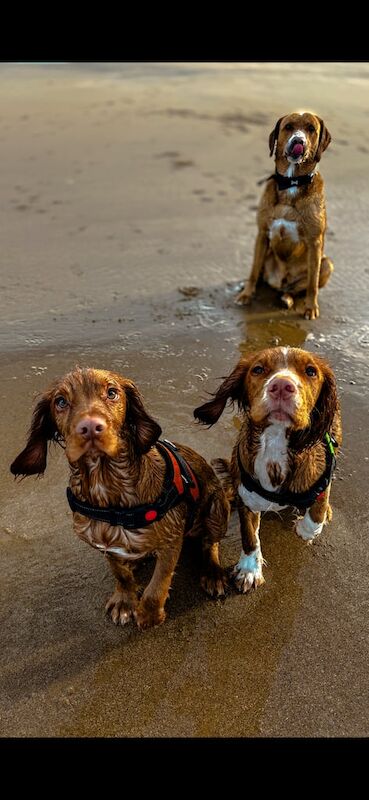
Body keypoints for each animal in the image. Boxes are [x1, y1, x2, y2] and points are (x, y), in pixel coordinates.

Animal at [236, 112, 334, 318]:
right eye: (288, 127)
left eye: (311, 129)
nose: (298, 141)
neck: (291, 182)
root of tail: (279, 283)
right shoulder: (262, 234)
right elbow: (253, 270)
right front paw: (246, 294)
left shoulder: (315, 242)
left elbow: (312, 282)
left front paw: (311, 307)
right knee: (260, 273)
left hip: (327, 264)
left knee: (296, 288)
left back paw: (287, 298)